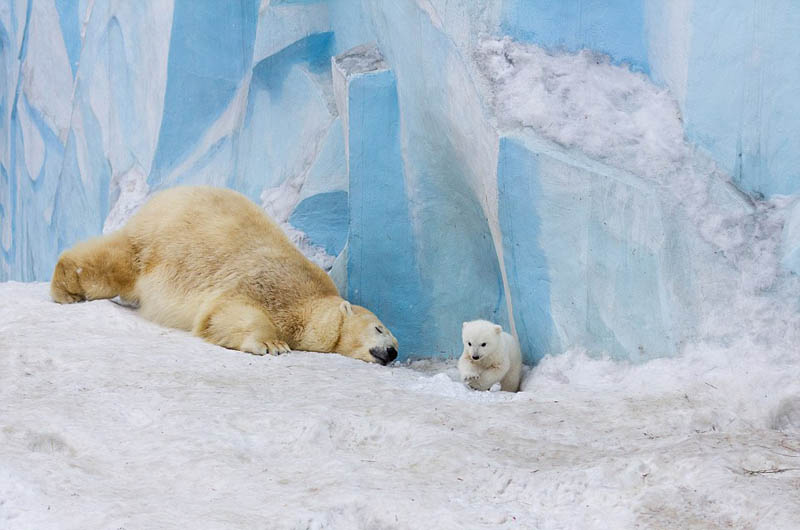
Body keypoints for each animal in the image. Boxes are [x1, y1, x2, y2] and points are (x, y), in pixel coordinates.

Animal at [50, 186, 400, 364]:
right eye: (380, 328)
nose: (394, 351)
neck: (310, 297)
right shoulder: (271, 283)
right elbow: (229, 311)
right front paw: (272, 344)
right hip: (155, 242)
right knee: (112, 263)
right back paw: (66, 289)